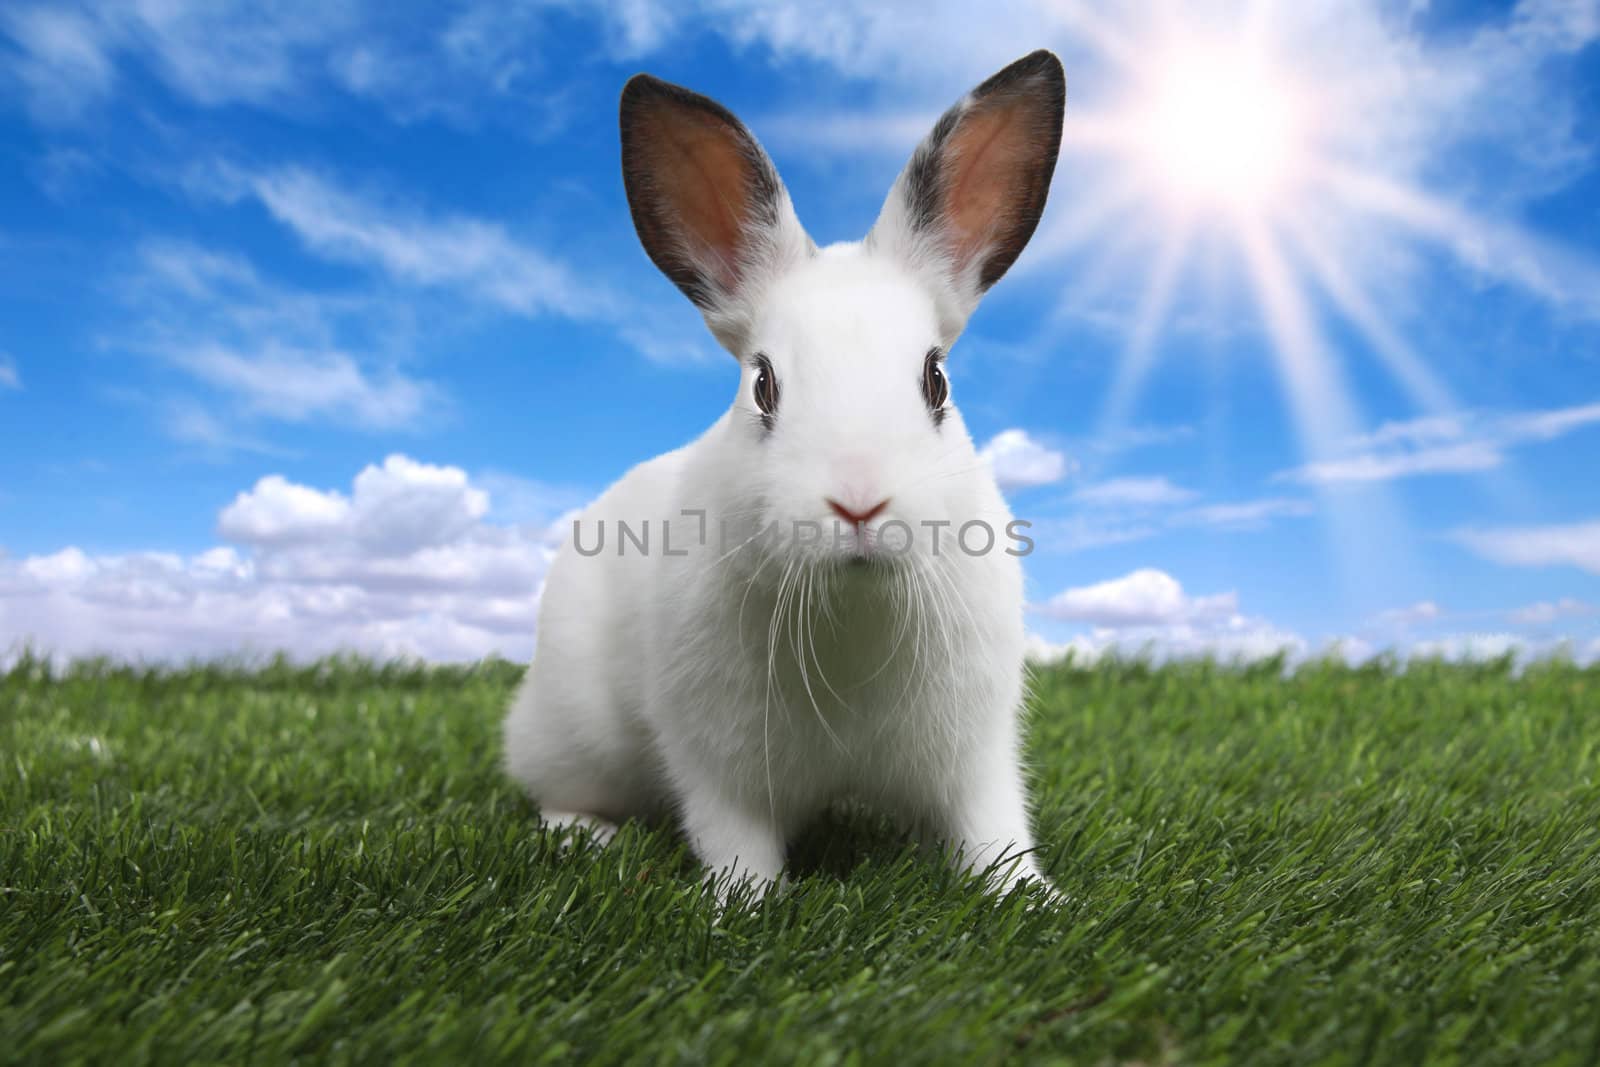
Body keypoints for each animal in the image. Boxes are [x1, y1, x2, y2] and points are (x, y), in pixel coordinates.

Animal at [505, 49, 1068, 902]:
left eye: (936, 381)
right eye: (763, 385)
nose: (859, 502)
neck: (854, 607)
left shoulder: (976, 755)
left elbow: (992, 832)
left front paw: (1036, 899)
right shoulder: (720, 763)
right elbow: (736, 839)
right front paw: (746, 906)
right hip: (576, 733)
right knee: (551, 788)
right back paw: (587, 835)